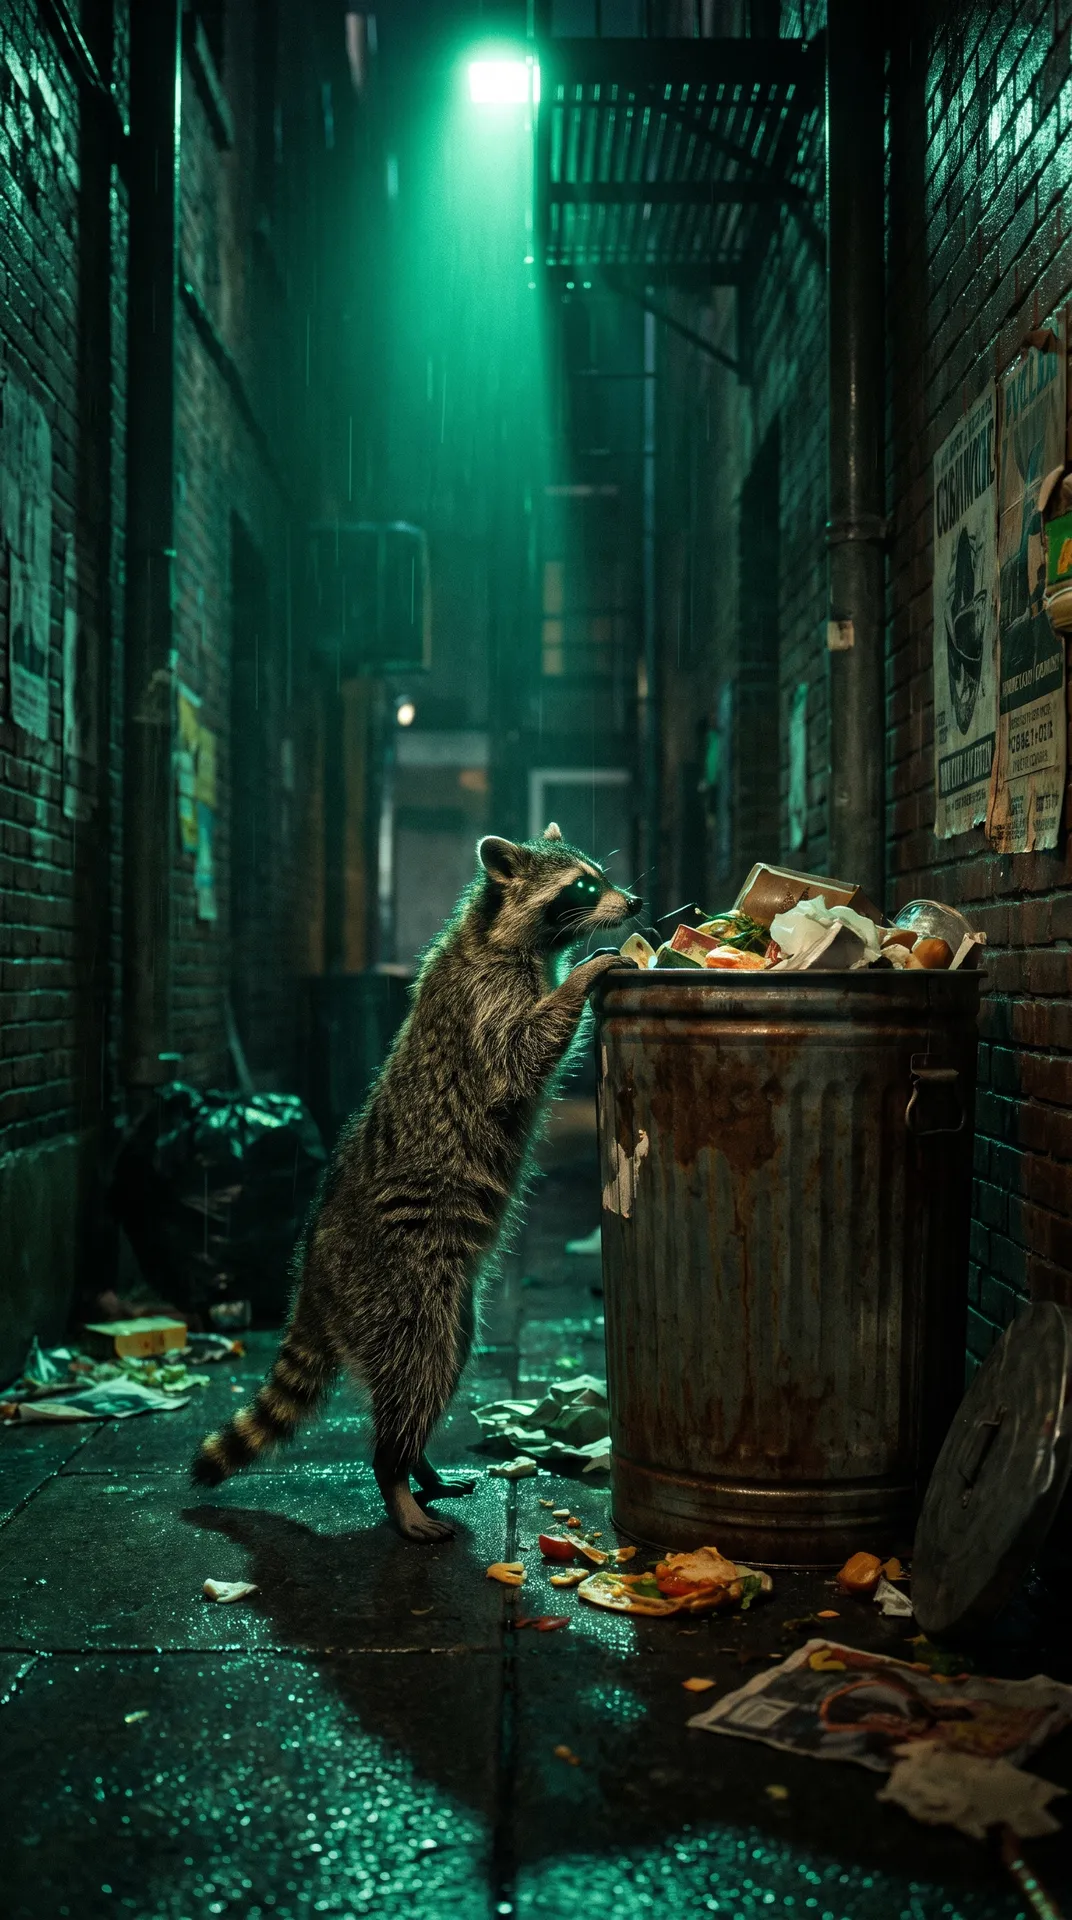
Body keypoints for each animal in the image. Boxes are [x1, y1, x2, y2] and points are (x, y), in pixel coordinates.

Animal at [191, 824, 639, 1541]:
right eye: (584, 886)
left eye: (600, 876)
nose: (635, 902)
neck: (495, 930)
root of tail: (314, 1275)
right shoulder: (486, 1000)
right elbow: (521, 1053)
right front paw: (588, 974)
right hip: (398, 1285)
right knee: (417, 1366)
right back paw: (393, 1474)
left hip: (442, 1302)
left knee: (445, 1362)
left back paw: (418, 1463)